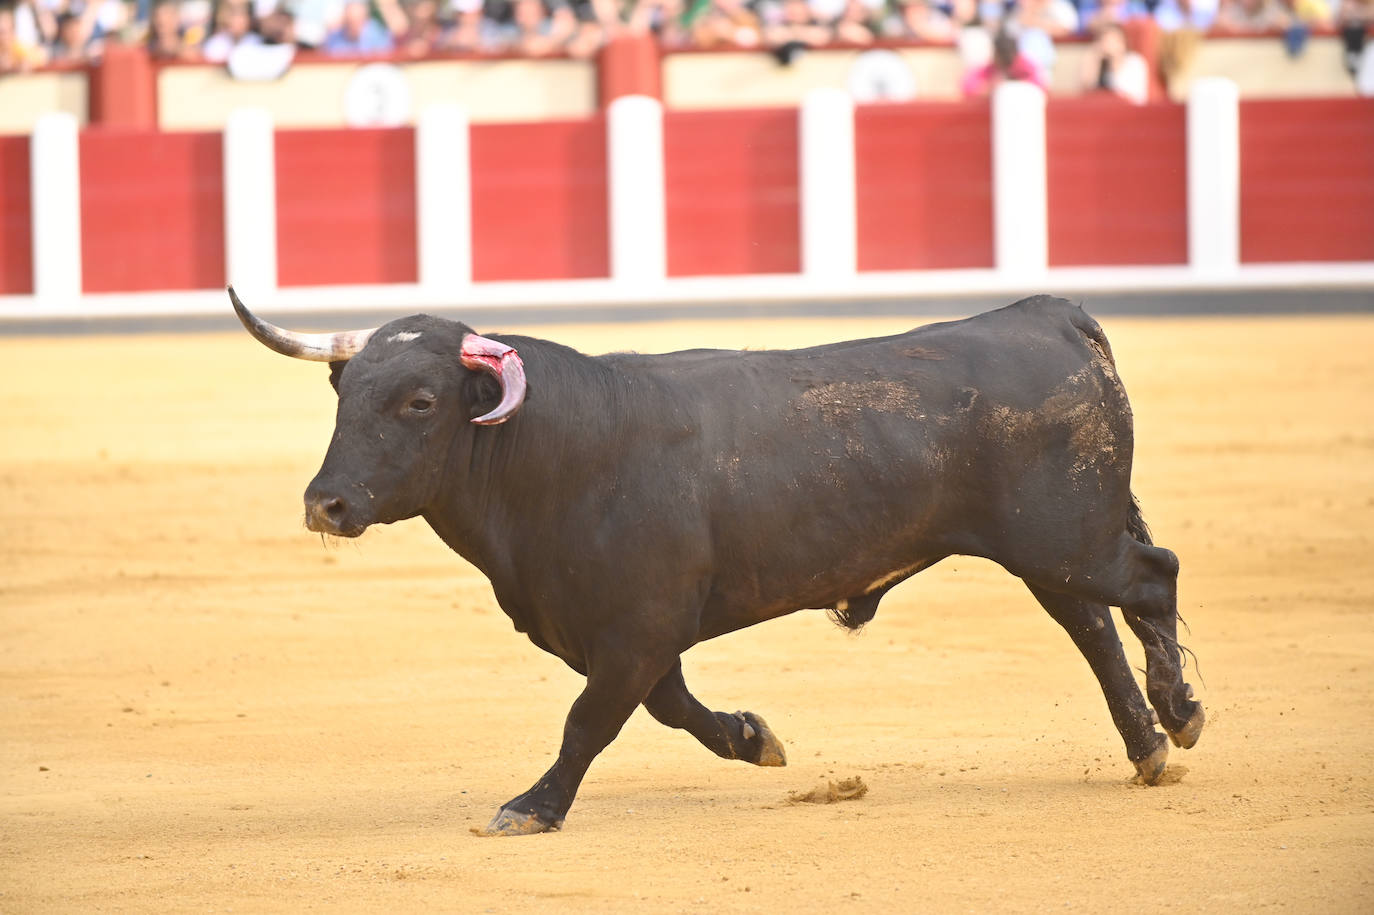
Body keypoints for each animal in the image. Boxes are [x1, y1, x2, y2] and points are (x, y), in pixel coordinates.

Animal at [233, 288, 1203, 829]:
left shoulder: (637, 626)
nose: (326, 504)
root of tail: (1052, 316)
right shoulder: (626, 633)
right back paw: (1149, 746)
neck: (555, 448)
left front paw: (531, 808)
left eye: (421, 401)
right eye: (344, 397)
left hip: (1067, 539)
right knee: (1093, 623)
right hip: (1052, 549)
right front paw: (754, 737)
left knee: (1151, 577)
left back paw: (1179, 714)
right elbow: (668, 707)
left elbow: (589, 722)